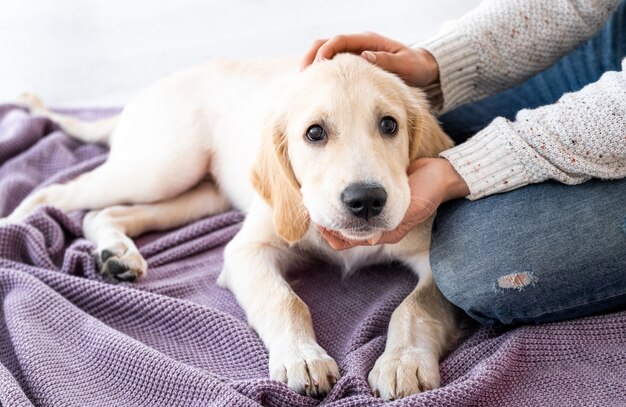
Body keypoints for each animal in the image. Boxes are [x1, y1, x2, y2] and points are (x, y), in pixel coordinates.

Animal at [4, 52, 458, 400]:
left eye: (389, 125)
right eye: (314, 133)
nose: (366, 200)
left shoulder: (430, 254)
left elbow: (416, 306)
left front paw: (403, 362)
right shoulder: (247, 250)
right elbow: (283, 299)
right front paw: (302, 357)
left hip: (199, 193)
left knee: (102, 213)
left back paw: (117, 254)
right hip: (161, 166)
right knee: (56, 194)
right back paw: (14, 227)